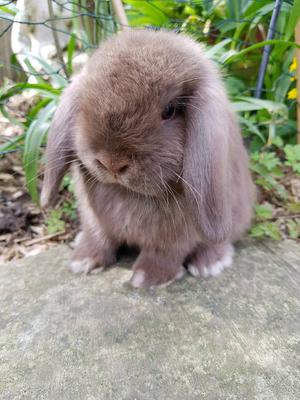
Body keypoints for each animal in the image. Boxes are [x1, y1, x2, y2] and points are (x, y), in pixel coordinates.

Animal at [40, 29, 255, 290]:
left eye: (169, 111)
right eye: (86, 101)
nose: (112, 163)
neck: (127, 192)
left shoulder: (176, 236)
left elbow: (163, 253)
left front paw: (147, 278)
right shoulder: (94, 220)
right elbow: (98, 238)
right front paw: (83, 261)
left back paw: (209, 264)